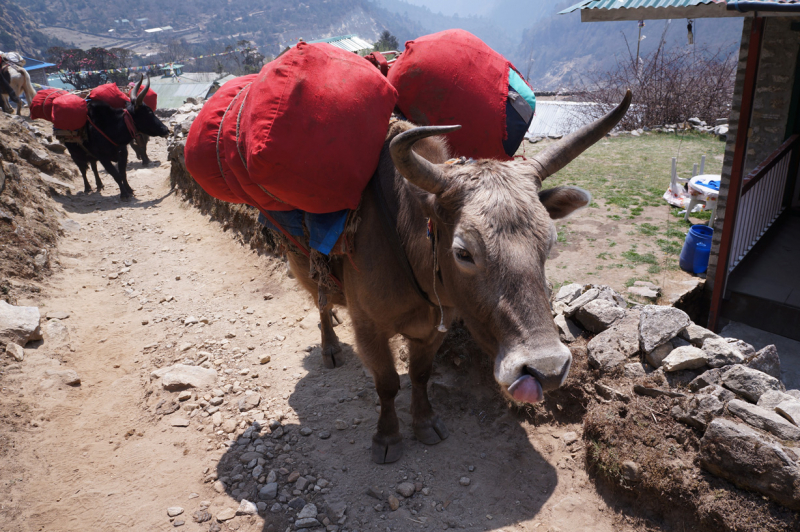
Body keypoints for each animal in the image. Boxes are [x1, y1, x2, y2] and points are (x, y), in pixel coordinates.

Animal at [286, 90, 632, 462]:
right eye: (463, 252)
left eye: (549, 243)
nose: (547, 369)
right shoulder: (368, 329)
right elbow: (387, 383)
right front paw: (387, 437)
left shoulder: (437, 325)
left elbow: (420, 374)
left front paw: (425, 423)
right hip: (306, 270)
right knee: (320, 303)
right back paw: (330, 346)